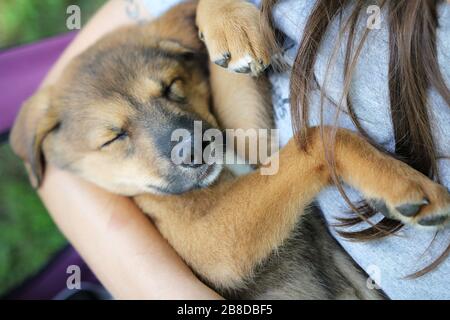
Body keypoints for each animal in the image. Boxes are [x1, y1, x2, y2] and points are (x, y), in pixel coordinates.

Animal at [10, 0, 450, 300]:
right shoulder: (212, 240)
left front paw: (230, 24)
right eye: (113, 138)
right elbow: (317, 141)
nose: (195, 147)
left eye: (172, 86)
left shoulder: (250, 133)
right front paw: (404, 185)